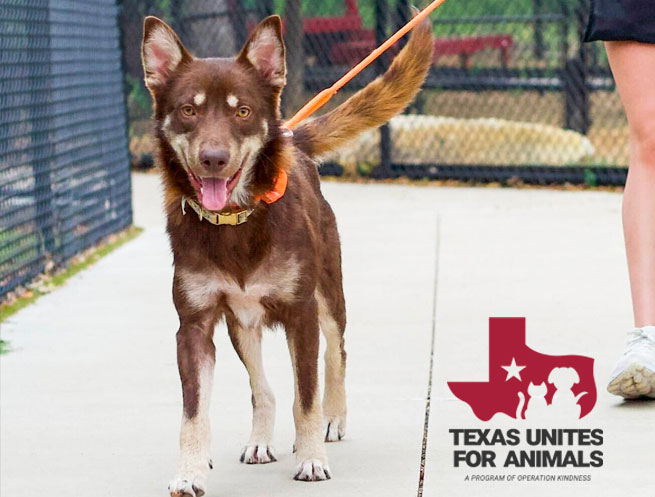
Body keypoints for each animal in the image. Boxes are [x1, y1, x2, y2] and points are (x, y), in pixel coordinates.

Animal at [140, 12, 434, 496]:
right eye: (188, 110)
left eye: (242, 111)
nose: (213, 159)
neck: (236, 222)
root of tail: (294, 139)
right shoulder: (194, 327)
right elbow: (194, 413)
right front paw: (190, 471)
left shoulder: (301, 314)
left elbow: (306, 398)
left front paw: (312, 457)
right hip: (242, 325)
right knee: (263, 388)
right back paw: (260, 440)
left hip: (328, 297)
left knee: (336, 355)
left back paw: (333, 418)